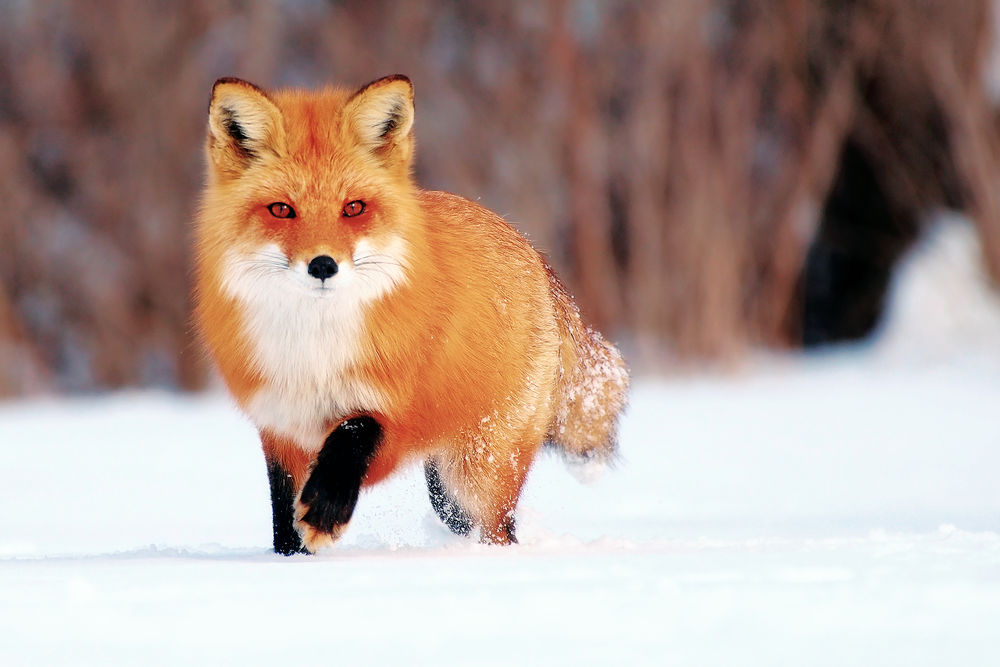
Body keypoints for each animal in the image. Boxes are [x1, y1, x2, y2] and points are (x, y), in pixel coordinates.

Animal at [193, 74, 628, 554]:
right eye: (281, 210)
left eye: (353, 208)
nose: (323, 265)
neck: (315, 353)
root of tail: (533, 251)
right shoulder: (280, 426)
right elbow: (283, 520)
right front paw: (290, 559)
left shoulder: (395, 409)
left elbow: (352, 434)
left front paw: (326, 511)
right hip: (447, 491)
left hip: (478, 472)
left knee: (500, 529)